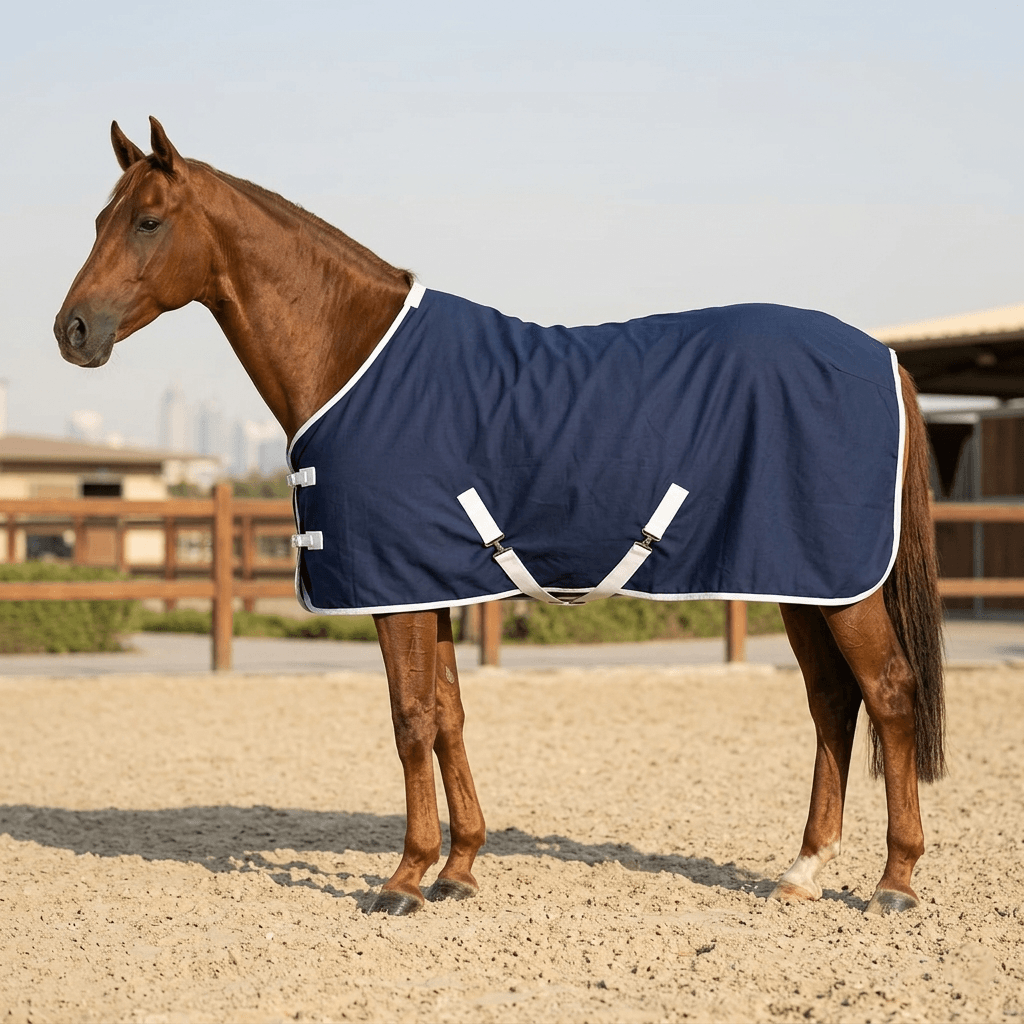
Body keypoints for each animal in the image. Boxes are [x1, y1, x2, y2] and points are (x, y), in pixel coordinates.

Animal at [54, 117, 945, 918]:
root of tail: (883, 357)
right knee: (831, 701)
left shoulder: (394, 589)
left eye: (147, 221)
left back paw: (895, 882)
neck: (352, 354)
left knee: (889, 691)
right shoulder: (429, 583)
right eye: (98, 220)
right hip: (803, 580)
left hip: (839, 583)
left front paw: (405, 879)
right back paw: (803, 871)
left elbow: (411, 719)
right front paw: (459, 868)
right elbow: (449, 714)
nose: (72, 331)